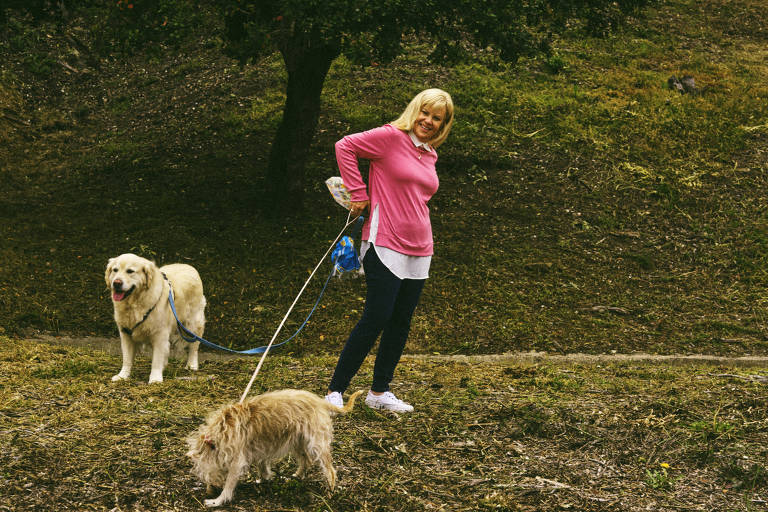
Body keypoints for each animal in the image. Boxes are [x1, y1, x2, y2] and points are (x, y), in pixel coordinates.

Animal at [188, 390, 364, 506]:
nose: (209, 490)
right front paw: (265, 478)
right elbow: (262, 465)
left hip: (316, 444)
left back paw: (330, 491)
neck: (222, 431)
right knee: (305, 460)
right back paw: (296, 476)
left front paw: (218, 500)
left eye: (207, 472)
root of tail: (319, 401)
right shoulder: (257, 450)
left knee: (330, 470)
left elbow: (230, 483)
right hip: (297, 441)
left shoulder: (237, 461)